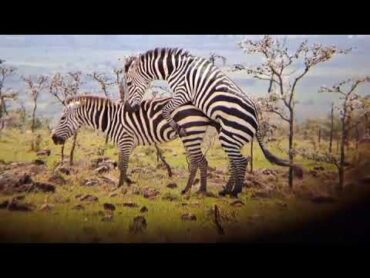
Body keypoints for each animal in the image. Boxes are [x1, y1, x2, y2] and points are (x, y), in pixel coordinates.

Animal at [49, 94, 218, 194]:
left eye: (62, 118)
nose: (53, 138)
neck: (111, 119)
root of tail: (200, 106)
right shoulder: (126, 143)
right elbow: (120, 163)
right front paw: (128, 181)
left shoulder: (125, 139)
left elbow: (123, 164)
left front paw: (119, 186)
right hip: (190, 135)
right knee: (196, 162)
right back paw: (187, 189)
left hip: (192, 132)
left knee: (202, 161)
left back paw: (200, 190)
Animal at [124, 47, 304, 198]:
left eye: (128, 83)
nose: (128, 108)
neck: (176, 68)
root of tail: (257, 120)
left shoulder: (183, 93)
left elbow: (164, 110)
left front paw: (178, 127)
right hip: (232, 138)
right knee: (236, 161)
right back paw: (227, 190)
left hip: (229, 136)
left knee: (241, 161)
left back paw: (235, 192)